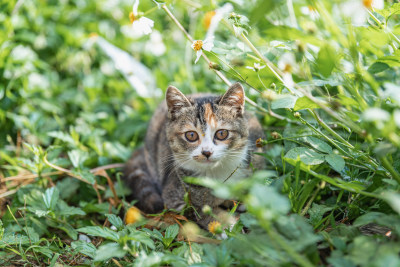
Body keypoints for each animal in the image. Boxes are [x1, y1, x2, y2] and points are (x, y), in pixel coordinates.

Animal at [123, 83, 264, 228]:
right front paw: (225, 222)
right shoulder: (173, 198)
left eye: (222, 133)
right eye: (191, 135)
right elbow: (198, 210)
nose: (207, 152)